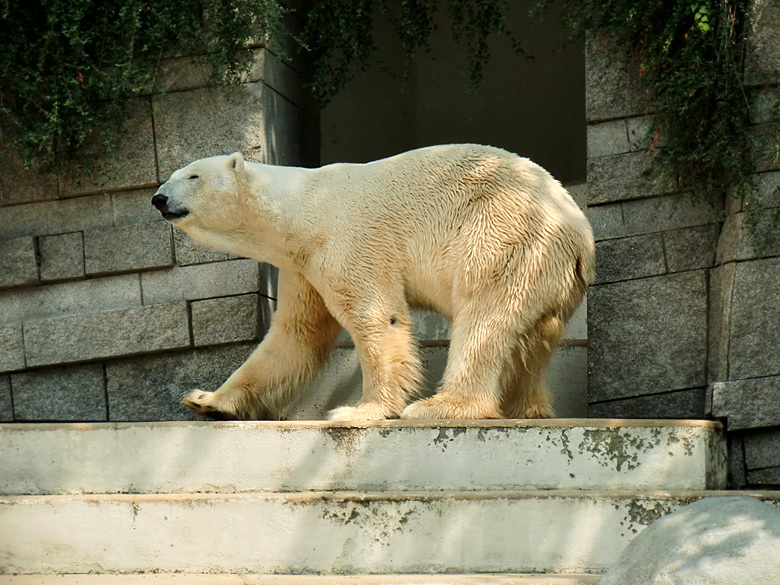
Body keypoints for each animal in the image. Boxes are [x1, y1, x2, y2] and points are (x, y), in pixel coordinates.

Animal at [151, 145, 592, 420]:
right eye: (170, 175)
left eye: (192, 176)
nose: (158, 198)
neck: (303, 208)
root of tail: (580, 232)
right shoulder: (302, 265)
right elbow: (297, 332)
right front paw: (207, 401)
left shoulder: (346, 239)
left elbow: (376, 317)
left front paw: (361, 410)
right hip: (548, 271)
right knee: (534, 340)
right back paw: (527, 407)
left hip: (502, 234)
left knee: (484, 317)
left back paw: (441, 406)